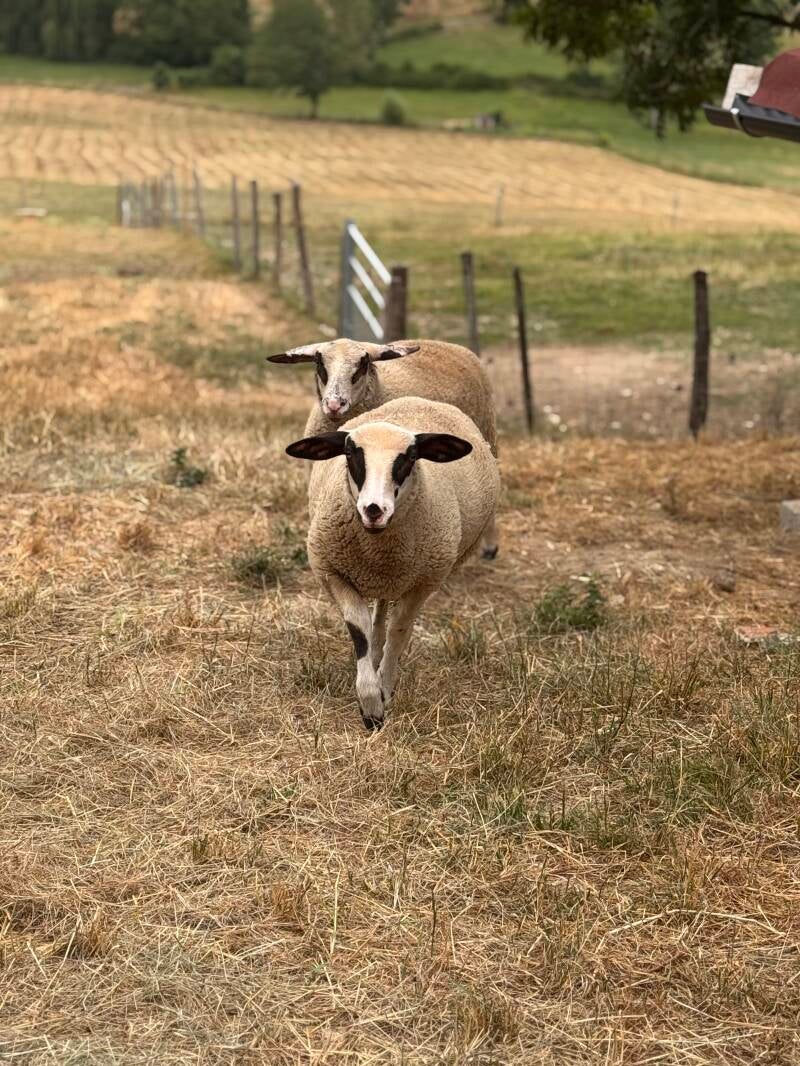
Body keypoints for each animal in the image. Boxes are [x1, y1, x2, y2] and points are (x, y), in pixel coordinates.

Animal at [268, 337, 499, 559]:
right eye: (319, 362)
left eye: (363, 364)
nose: (334, 404)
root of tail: (446, 344)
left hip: (488, 434)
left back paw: (490, 546)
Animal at [285, 396, 500, 730]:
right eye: (350, 453)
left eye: (410, 456)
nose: (374, 509)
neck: (379, 551)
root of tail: (420, 399)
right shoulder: (333, 572)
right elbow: (359, 628)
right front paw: (370, 702)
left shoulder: (423, 582)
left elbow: (399, 629)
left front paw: (384, 688)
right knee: (378, 613)